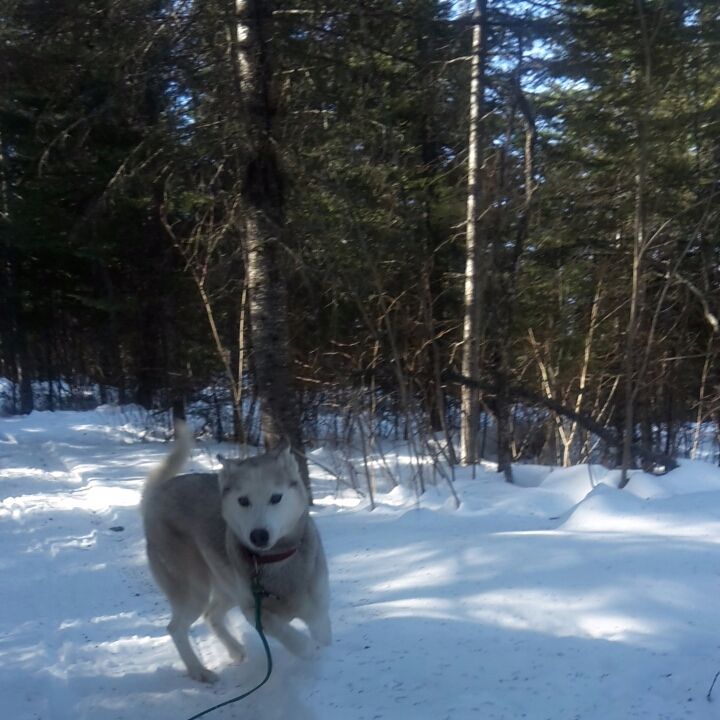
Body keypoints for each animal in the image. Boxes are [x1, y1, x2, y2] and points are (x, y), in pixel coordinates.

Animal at [141, 424, 332, 684]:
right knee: (176, 627)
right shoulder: (254, 611)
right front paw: (306, 649)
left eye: (276, 497)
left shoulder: (318, 607)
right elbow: (282, 629)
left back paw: (235, 649)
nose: (259, 535)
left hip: (226, 586)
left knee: (211, 614)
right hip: (194, 589)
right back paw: (199, 671)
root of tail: (159, 492)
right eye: (243, 501)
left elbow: (322, 632)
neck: (276, 559)